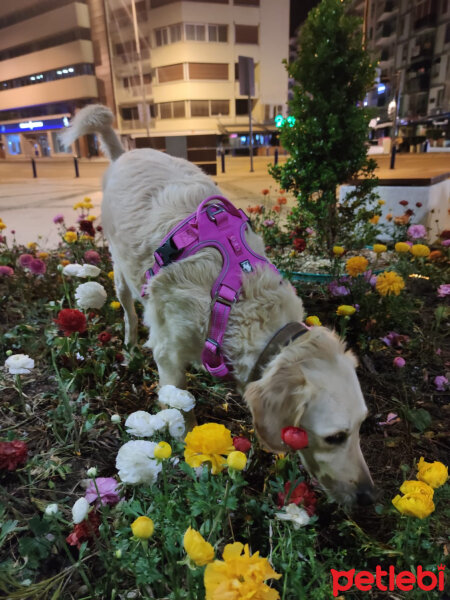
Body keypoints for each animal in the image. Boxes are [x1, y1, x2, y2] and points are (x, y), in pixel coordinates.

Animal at [61, 106, 374, 506]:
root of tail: (124, 154)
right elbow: (182, 413)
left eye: (363, 425)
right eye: (335, 437)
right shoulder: (167, 354)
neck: (236, 297)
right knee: (129, 310)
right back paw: (130, 343)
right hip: (120, 273)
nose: (370, 497)